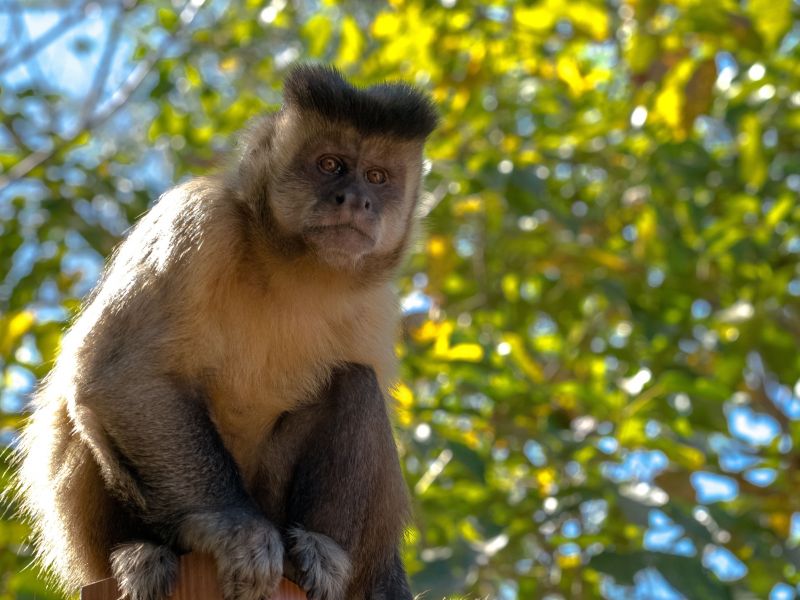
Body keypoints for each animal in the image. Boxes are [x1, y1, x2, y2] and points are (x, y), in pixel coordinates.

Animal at [15, 65, 438, 600]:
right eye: (330, 165)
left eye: (378, 177)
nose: (357, 200)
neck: (292, 269)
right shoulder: (197, 217)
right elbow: (123, 377)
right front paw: (233, 529)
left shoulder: (379, 302)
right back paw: (140, 553)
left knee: (355, 380)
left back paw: (318, 550)